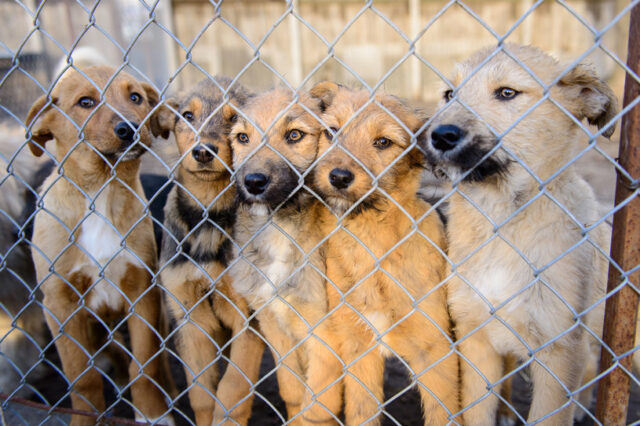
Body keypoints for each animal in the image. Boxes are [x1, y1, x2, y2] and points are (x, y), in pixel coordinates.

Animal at [25, 66, 174, 426]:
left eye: (135, 97)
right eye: (85, 102)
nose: (129, 128)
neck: (101, 191)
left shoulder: (142, 293)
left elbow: (145, 364)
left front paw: (152, 413)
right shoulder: (60, 305)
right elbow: (83, 377)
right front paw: (84, 417)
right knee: (111, 353)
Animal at [156, 77, 264, 426]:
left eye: (234, 120)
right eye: (187, 116)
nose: (203, 151)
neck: (209, 216)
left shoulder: (248, 319)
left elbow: (231, 392)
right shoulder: (190, 318)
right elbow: (202, 394)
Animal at [229, 86, 340, 422]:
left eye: (294, 135)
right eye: (242, 137)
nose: (253, 182)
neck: (279, 226)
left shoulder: (325, 336)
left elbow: (317, 408)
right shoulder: (272, 323)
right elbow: (292, 391)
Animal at [422, 44, 616, 426]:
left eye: (507, 93)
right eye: (450, 94)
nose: (439, 135)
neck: (502, 221)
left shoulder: (559, 350)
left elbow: (549, 414)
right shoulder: (475, 338)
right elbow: (476, 411)